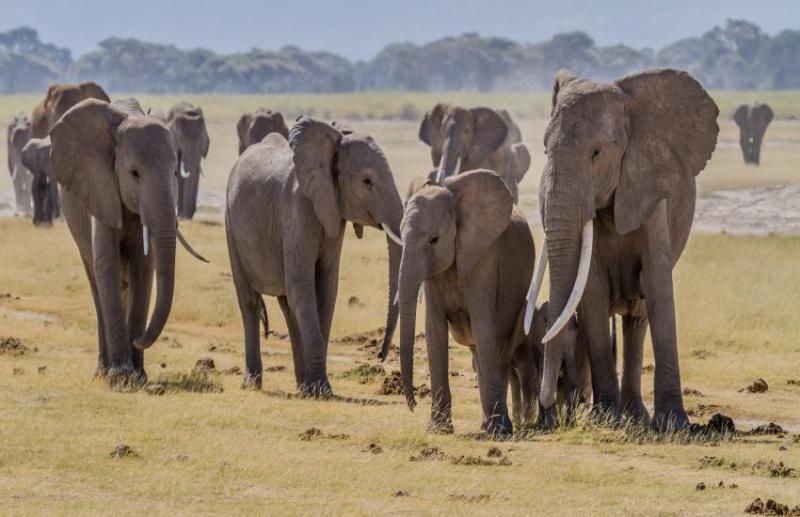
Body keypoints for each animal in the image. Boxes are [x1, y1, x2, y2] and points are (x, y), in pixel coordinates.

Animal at [50, 97, 206, 381]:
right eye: (134, 174)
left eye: (175, 173)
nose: (138, 339)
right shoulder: (100, 187)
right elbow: (106, 263)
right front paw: (121, 376)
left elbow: (144, 268)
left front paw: (138, 376)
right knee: (96, 283)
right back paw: (103, 371)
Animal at [226, 117, 404, 395]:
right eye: (367, 182)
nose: (379, 355)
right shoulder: (296, 209)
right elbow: (303, 286)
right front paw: (322, 390)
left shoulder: (333, 211)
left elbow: (325, 289)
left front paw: (316, 389)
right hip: (231, 226)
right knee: (250, 302)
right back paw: (252, 384)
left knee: (288, 307)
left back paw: (301, 386)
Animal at [390, 169, 534, 435]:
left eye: (434, 239)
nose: (413, 405)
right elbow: (434, 330)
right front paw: (438, 429)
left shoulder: (484, 260)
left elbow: (483, 326)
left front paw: (498, 431)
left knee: (500, 351)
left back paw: (497, 426)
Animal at [524, 68, 719, 431]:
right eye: (544, 150)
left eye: (596, 153)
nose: (546, 406)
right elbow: (592, 289)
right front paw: (605, 419)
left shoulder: (652, 194)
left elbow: (657, 284)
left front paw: (674, 425)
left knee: (638, 315)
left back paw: (639, 417)